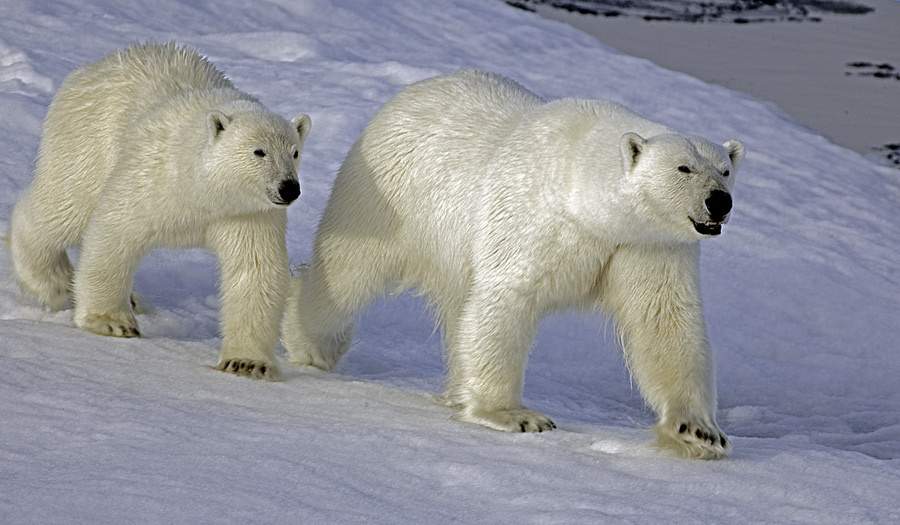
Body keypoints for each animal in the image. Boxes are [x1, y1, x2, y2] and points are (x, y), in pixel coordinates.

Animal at [8, 42, 311, 381]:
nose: (289, 188)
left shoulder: (246, 213)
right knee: (65, 206)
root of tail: (94, 66)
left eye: (295, 152)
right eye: (259, 151)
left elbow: (255, 268)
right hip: (87, 140)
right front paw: (111, 322)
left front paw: (247, 363)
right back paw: (54, 281)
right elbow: (115, 229)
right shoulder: (155, 174)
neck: (202, 191)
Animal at [282, 70, 744, 459]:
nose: (719, 202)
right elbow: (507, 298)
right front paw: (514, 416)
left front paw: (698, 431)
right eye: (683, 167)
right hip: (387, 195)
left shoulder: (648, 245)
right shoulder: (534, 217)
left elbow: (665, 320)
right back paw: (311, 343)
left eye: (725, 169)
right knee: (346, 273)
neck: (584, 195)